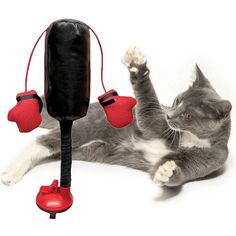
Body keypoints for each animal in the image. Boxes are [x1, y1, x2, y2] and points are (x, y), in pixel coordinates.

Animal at [0, 48, 231, 187]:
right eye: (176, 101)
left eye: (188, 115)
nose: (168, 115)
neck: (189, 139)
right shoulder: (155, 122)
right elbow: (148, 112)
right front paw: (137, 66)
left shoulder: (214, 158)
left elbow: (180, 173)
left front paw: (166, 171)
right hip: (88, 125)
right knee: (41, 142)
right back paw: (11, 172)